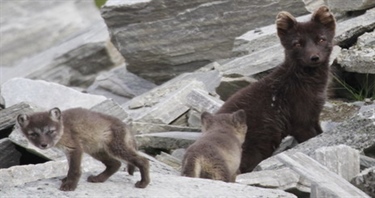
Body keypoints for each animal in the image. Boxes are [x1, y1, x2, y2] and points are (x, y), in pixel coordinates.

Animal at [16, 107, 151, 191]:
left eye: (50, 131)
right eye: (33, 134)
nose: (43, 145)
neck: (63, 128)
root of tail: (126, 126)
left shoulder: (75, 148)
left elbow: (74, 170)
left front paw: (69, 185)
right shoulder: (68, 151)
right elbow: (70, 168)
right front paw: (66, 180)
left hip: (116, 149)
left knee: (143, 160)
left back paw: (143, 183)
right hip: (97, 151)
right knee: (115, 164)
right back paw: (98, 179)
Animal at [216, 6, 336, 173]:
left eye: (321, 39)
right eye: (297, 43)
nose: (314, 57)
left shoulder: (314, 115)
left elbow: (319, 132)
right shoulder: (299, 122)